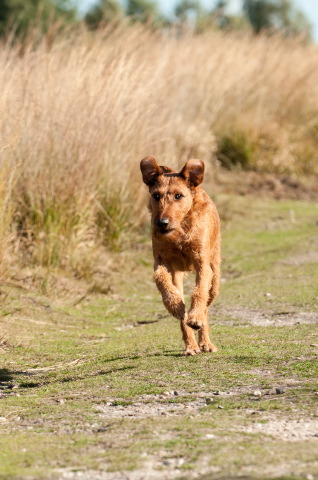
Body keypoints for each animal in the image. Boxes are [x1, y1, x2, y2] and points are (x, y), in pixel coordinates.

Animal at [142, 156, 221, 354]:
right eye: (156, 196)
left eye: (178, 196)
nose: (161, 223)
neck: (180, 231)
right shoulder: (162, 262)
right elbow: (161, 280)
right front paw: (174, 306)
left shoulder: (202, 264)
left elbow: (199, 292)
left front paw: (196, 318)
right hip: (177, 275)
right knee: (182, 313)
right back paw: (191, 345)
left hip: (215, 276)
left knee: (207, 304)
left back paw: (205, 340)